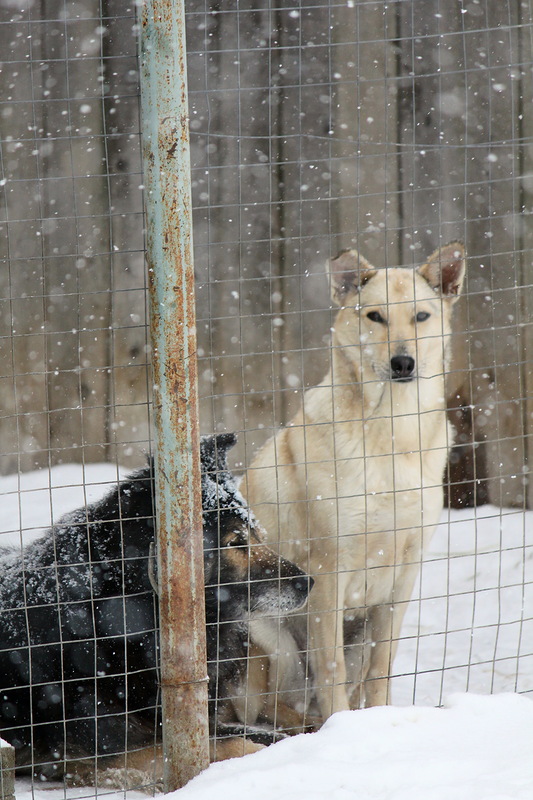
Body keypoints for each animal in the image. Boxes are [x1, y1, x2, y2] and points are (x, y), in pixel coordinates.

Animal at [0, 434, 310, 784]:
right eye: (234, 542)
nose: (308, 582)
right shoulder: (94, 751)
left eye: (257, 534)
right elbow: (229, 745)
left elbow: (256, 734)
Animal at [241, 244, 466, 724]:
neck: (393, 431)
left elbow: (381, 667)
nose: (403, 362)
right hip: (271, 637)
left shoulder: (403, 574)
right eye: (375, 316)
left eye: (421, 316)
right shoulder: (328, 571)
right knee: (268, 706)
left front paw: (376, 722)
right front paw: (341, 727)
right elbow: (331, 669)